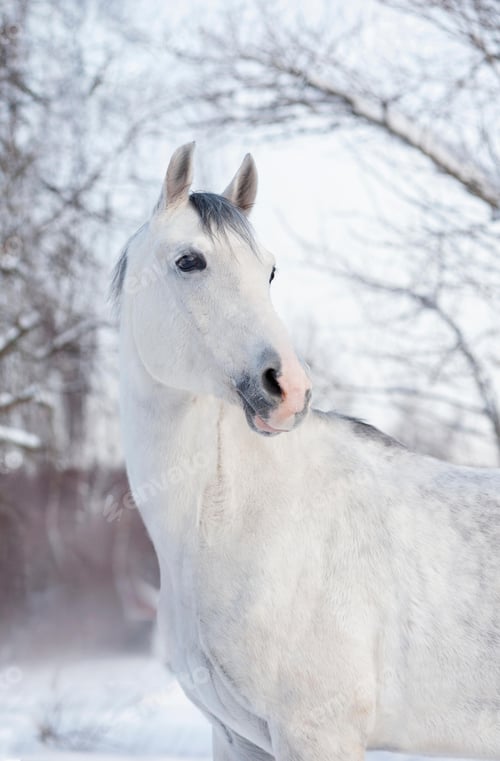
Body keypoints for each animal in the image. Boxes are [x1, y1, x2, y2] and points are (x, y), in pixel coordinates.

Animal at [114, 142, 500, 761]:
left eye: (268, 270)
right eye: (189, 261)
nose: (288, 388)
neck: (224, 523)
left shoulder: (317, 733)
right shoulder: (236, 739)